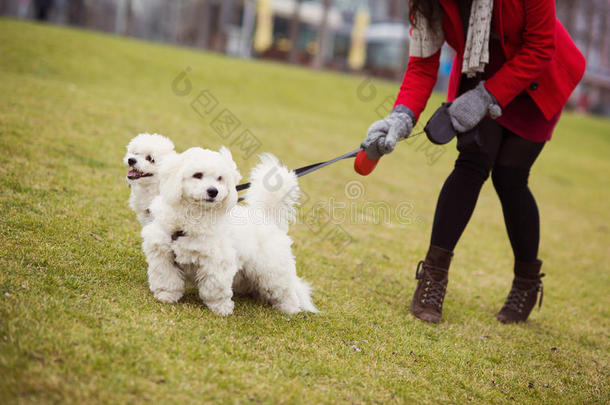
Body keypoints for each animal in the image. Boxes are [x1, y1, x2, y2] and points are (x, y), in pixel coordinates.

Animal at [140, 147, 316, 314]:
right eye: (197, 175)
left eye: (220, 178)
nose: (213, 191)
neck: (192, 216)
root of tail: (267, 216)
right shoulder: (163, 254)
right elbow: (167, 279)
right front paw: (166, 296)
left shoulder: (217, 262)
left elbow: (214, 287)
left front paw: (221, 308)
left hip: (272, 270)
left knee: (286, 291)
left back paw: (290, 310)